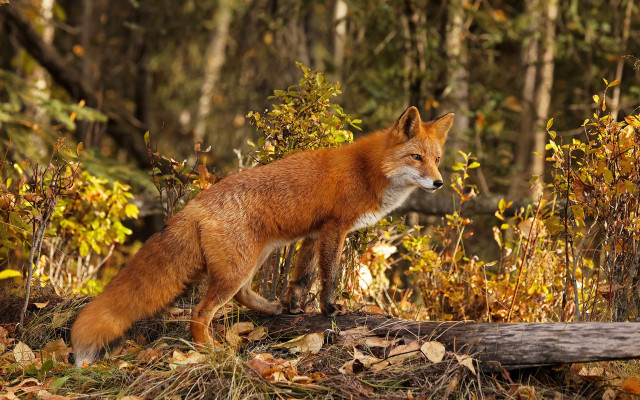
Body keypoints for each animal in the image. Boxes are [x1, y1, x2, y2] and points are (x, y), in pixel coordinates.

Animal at [70, 106, 453, 366]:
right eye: (416, 157)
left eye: (436, 159)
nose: (438, 183)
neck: (368, 170)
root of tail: (195, 205)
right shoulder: (335, 228)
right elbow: (328, 276)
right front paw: (330, 309)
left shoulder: (314, 234)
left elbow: (301, 277)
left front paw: (295, 307)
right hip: (240, 266)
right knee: (200, 313)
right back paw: (210, 351)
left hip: (254, 258)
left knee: (241, 296)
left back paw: (270, 310)